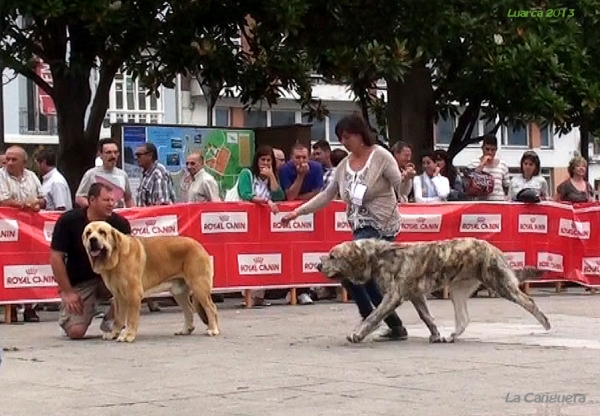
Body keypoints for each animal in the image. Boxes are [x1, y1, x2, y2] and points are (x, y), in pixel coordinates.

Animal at [318, 237, 552, 344]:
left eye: (333, 256)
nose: (319, 265)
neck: (379, 256)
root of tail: (494, 249)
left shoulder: (393, 297)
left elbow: (372, 316)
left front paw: (357, 334)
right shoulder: (416, 295)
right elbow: (427, 317)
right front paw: (436, 334)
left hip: (501, 283)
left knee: (529, 302)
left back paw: (546, 325)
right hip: (458, 290)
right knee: (464, 319)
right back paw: (451, 336)